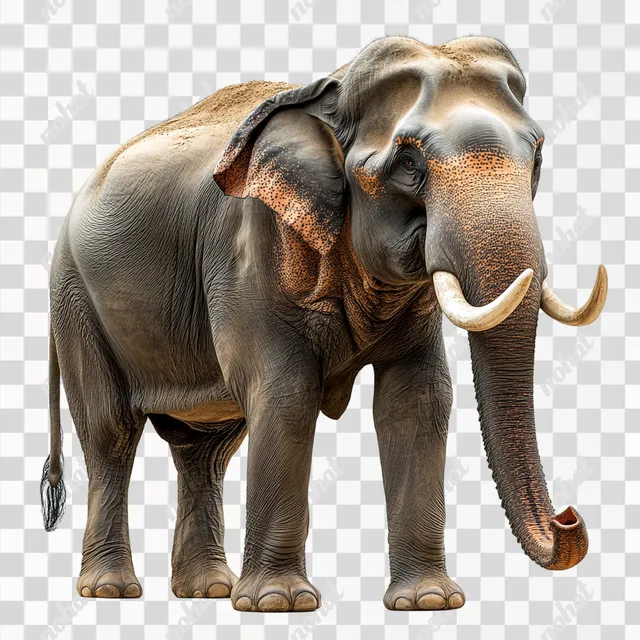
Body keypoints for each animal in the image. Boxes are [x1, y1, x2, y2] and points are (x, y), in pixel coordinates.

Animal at [41, 35, 608, 611]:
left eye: (536, 156)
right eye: (408, 163)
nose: (568, 519)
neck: (328, 92)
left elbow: (419, 398)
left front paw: (426, 601)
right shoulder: (249, 248)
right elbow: (287, 393)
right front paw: (279, 603)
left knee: (205, 449)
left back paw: (207, 591)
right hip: (75, 301)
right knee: (110, 431)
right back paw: (111, 590)